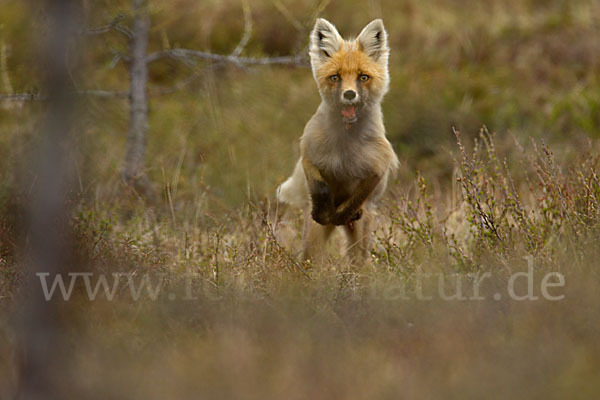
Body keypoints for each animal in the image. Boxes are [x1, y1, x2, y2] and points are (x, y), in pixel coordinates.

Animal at [276, 18, 398, 264]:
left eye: (363, 77)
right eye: (336, 77)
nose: (350, 94)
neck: (345, 146)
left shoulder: (377, 167)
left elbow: (358, 197)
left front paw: (341, 213)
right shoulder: (309, 153)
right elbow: (320, 185)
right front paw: (324, 211)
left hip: (361, 237)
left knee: (360, 260)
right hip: (312, 239)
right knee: (311, 257)